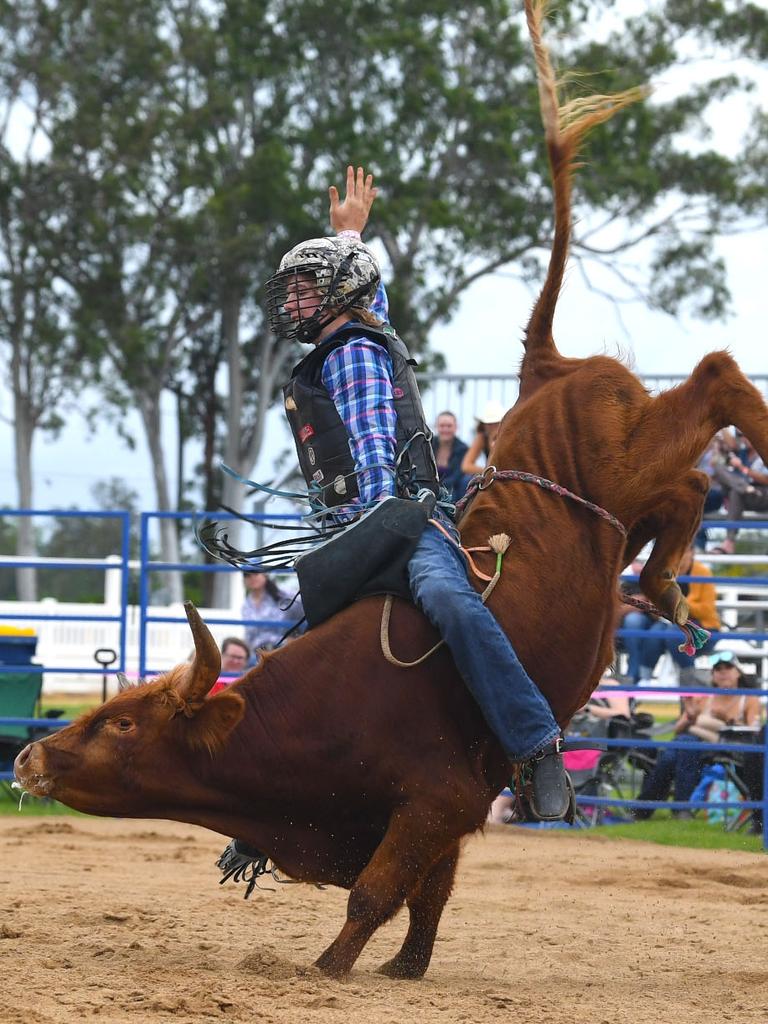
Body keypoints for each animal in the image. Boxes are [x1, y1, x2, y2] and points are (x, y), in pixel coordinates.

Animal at [12, 0, 768, 978]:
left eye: (127, 726)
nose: (29, 757)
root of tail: (544, 367)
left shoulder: (435, 801)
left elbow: (377, 894)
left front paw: (331, 970)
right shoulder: (437, 824)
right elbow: (426, 905)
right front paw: (403, 972)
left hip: (626, 454)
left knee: (715, 381)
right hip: (626, 507)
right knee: (686, 492)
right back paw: (667, 580)